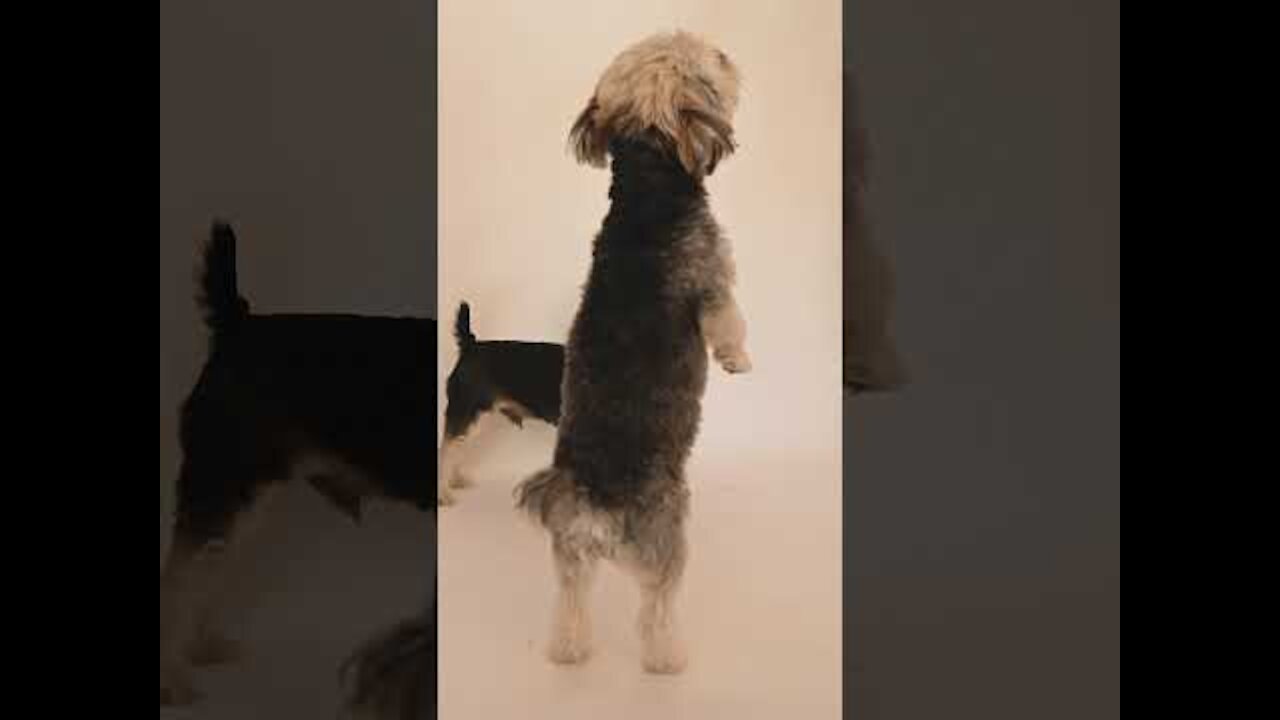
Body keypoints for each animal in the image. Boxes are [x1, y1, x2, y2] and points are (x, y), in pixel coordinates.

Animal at [512, 32, 747, 671]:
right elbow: (729, 321)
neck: (647, 190)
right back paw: (668, 658)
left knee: (571, 603)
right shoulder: (713, 278)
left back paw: (568, 652)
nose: (729, 54)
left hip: (569, 557)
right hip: (666, 537)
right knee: (657, 607)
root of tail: (594, 505)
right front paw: (739, 359)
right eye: (711, 61)